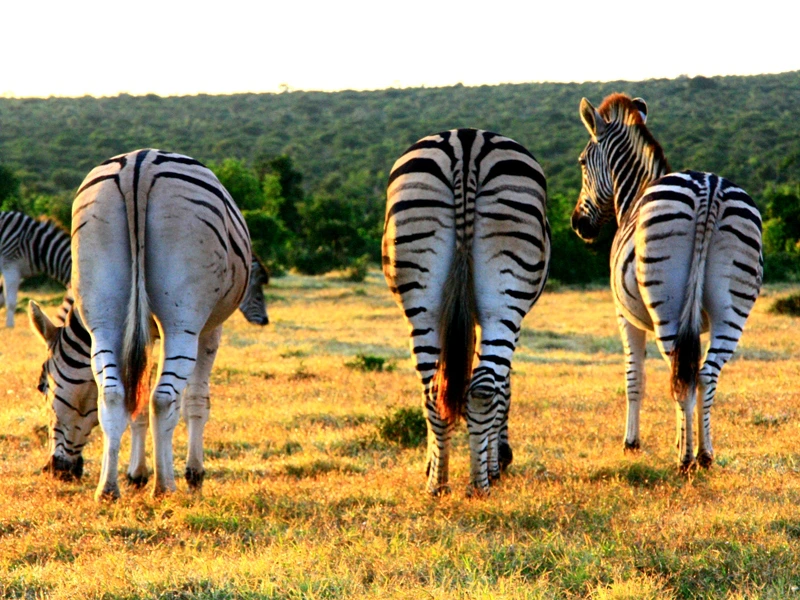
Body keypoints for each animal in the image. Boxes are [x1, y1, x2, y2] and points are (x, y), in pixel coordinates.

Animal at [28, 148, 267, 499]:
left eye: (41, 386)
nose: (56, 470)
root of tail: (139, 166)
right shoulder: (208, 330)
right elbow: (195, 400)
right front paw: (193, 474)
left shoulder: (143, 333)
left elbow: (136, 403)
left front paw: (135, 474)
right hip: (182, 320)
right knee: (163, 398)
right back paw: (164, 486)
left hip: (104, 312)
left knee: (113, 394)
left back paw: (108, 488)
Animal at [383, 128, 550, 496]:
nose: (506, 459)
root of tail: (466, 142)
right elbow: (504, 387)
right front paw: (495, 462)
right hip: (505, 298)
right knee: (484, 389)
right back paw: (480, 485)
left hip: (422, 294)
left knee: (433, 391)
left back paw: (438, 484)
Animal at [571, 94, 763, 470]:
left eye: (583, 162)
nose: (577, 224)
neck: (634, 194)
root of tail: (708, 189)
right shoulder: (697, 323)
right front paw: (682, 437)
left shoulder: (624, 314)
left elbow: (635, 376)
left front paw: (632, 443)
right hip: (732, 306)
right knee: (704, 374)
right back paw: (704, 454)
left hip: (665, 305)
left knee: (682, 375)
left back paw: (685, 459)